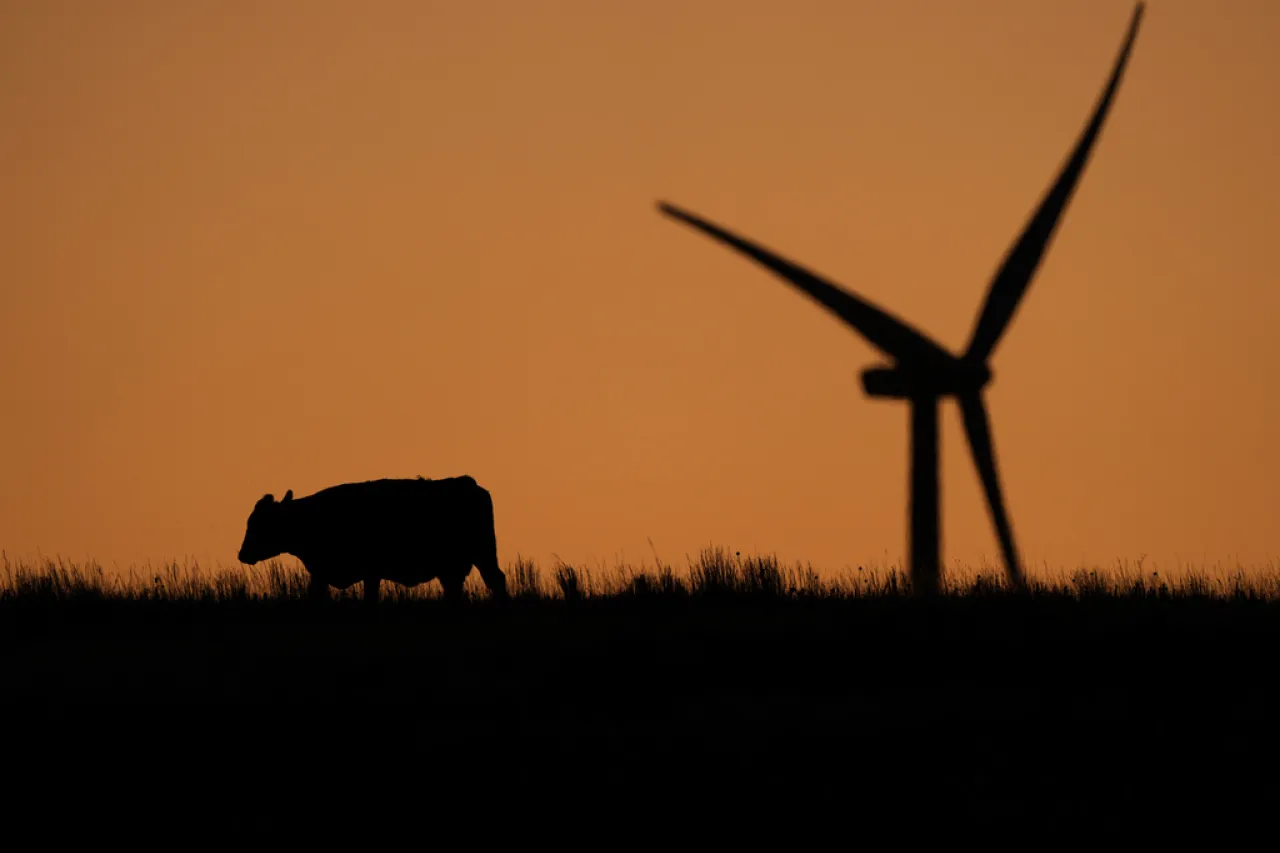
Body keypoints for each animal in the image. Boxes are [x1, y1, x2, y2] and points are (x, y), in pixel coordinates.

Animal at [238, 473, 506, 601]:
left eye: (259, 523)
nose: (242, 554)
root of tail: (469, 483)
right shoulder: (322, 573)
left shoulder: (369, 572)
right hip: (455, 566)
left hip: (483, 554)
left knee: (495, 580)